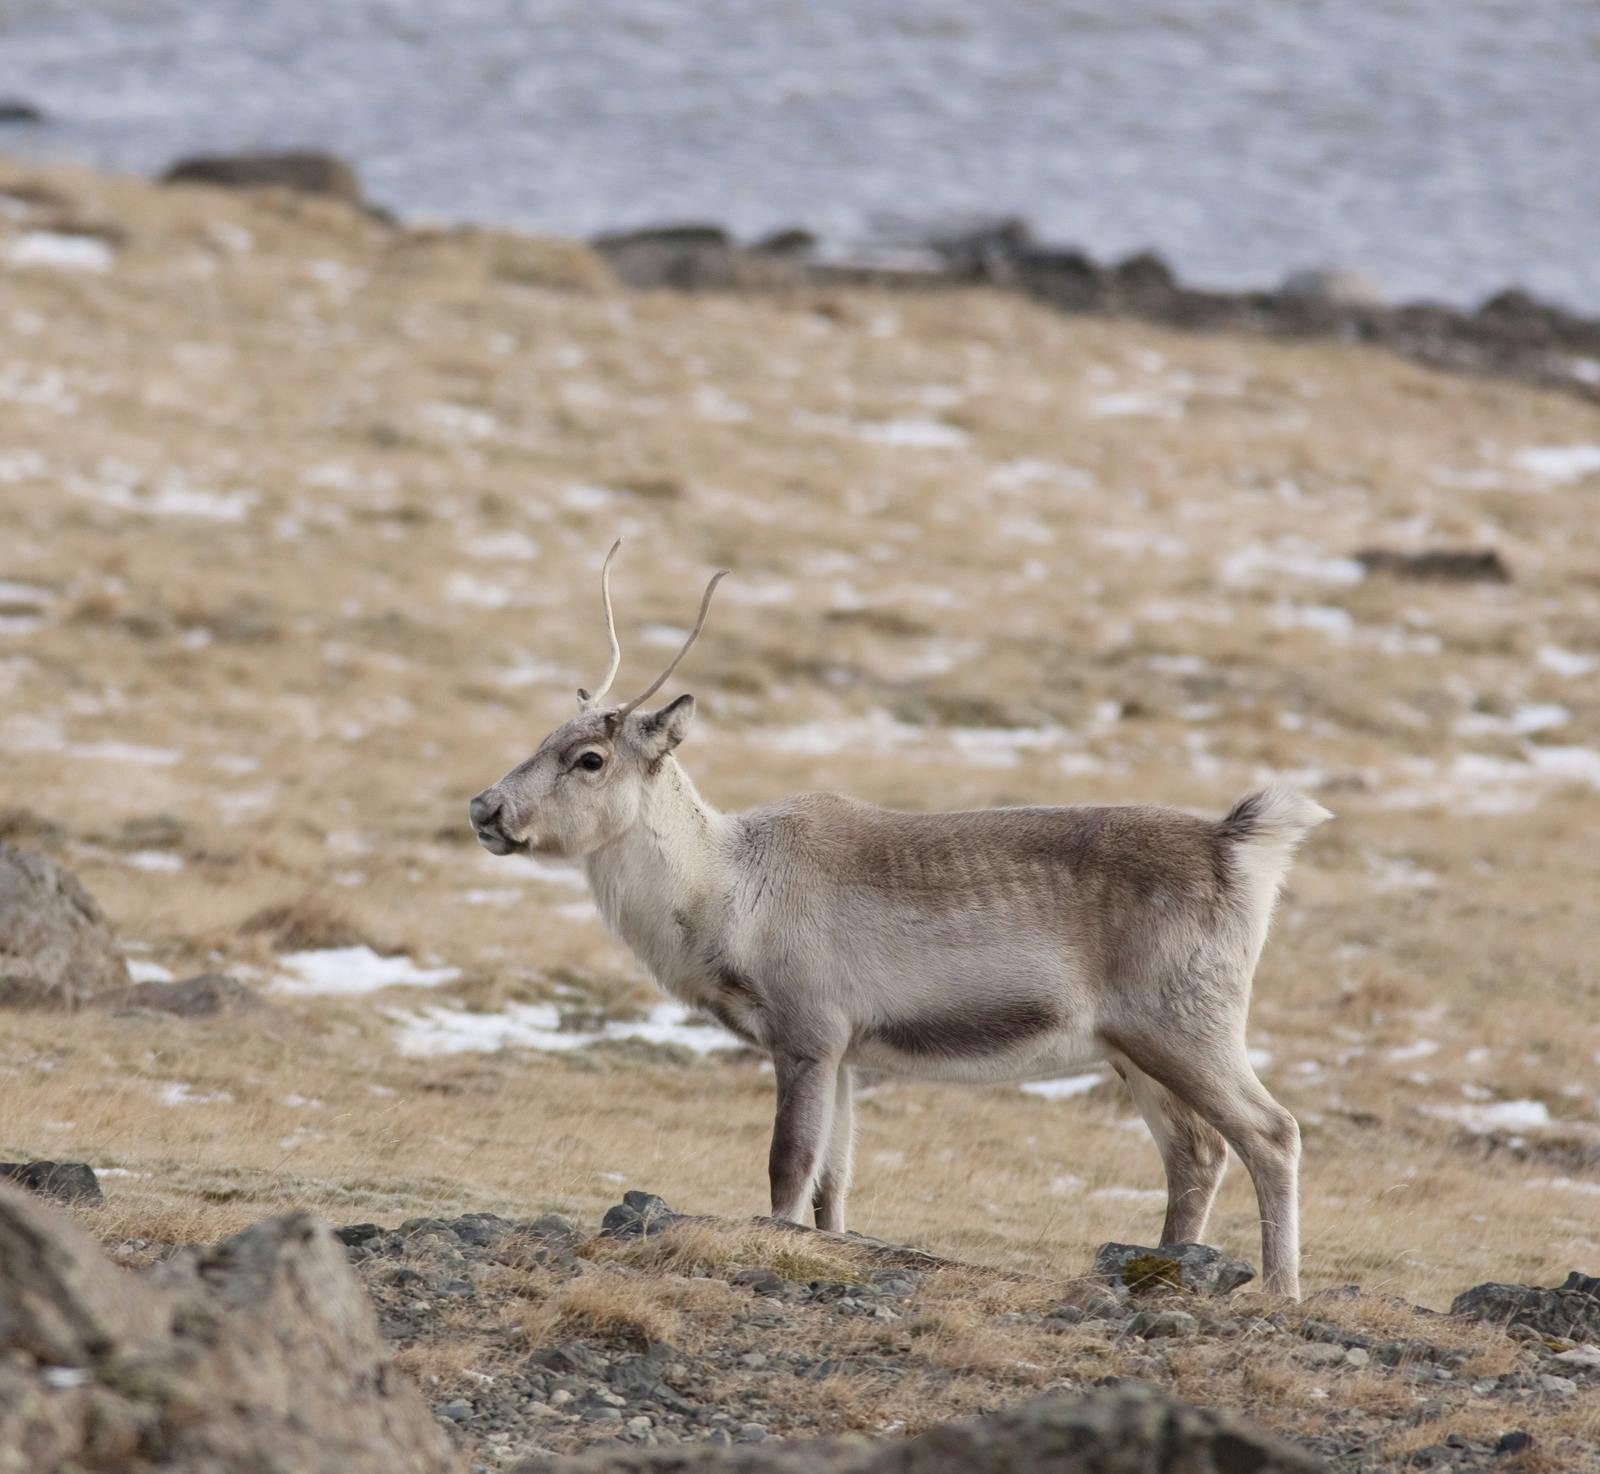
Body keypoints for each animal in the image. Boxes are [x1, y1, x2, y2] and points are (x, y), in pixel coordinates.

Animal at [469, 542, 1329, 1296]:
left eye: (590, 759)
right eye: (544, 738)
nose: (486, 808)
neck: (724, 892)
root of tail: (1237, 843)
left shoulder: (809, 1032)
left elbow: (787, 1169)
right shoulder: (849, 1051)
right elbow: (833, 1185)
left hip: (1188, 1023)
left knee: (1271, 1132)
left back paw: (1279, 1290)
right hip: (1132, 1047)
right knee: (1197, 1154)